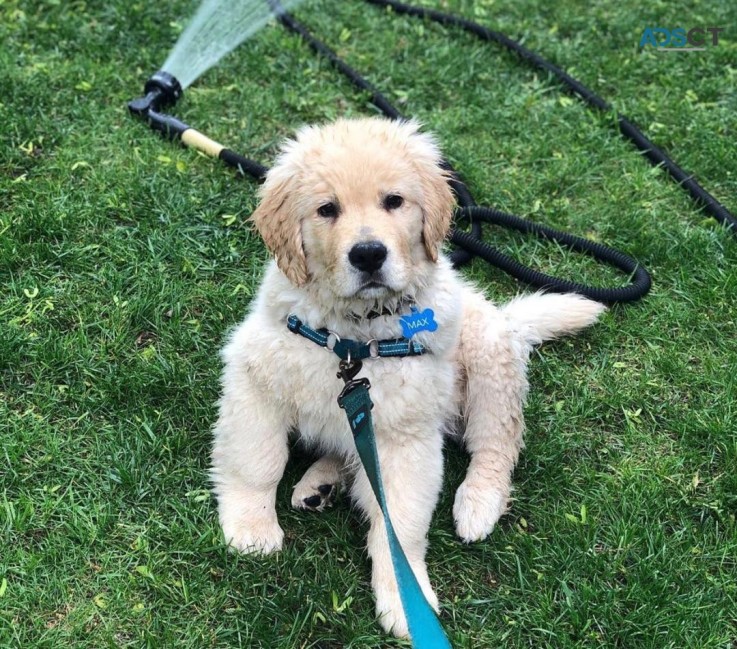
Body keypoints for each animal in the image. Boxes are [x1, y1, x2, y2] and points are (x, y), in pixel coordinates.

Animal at [208, 115, 604, 632]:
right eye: (326, 209)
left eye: (393, 201)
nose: (368, 254)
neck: (354, 335)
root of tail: (509, 324)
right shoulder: (255, 376)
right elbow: (258, 461)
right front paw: (252, 527)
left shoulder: (407, 434)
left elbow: (398, 522)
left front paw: (404, 595)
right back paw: (321, 484)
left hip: (487, 354)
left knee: (496, 444)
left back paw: (478, 502)